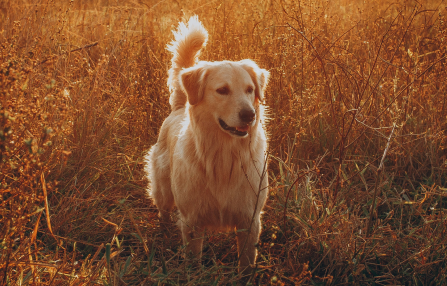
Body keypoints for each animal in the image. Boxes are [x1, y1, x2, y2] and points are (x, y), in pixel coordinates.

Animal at [147, 16, 272, 272]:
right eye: (222, 90)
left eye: (250, 89)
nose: (249, 115)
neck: (225, 155)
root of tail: (179, 107)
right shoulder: (192, 221)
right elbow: (193, 260)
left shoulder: (250, 218)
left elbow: (246, 262)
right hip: (163, 189)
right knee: (163, 212)